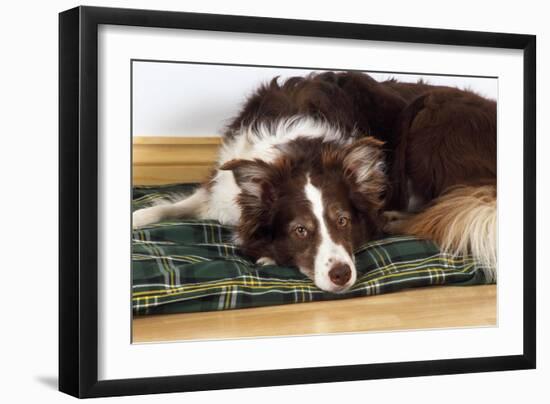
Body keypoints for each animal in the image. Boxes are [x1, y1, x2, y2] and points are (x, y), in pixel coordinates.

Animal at [135, 72, 500, 292]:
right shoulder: (222, 188)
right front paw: (139, 217)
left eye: (344, 220)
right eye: (300, 229)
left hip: (429, 119)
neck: (296, 151)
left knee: (445, 209)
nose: (342, 274)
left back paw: (398, 219)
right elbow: (176, 204)